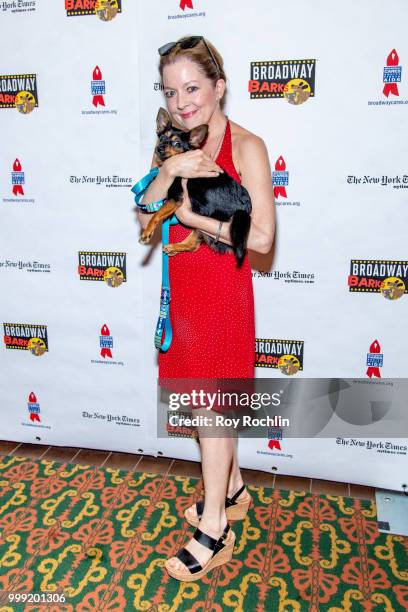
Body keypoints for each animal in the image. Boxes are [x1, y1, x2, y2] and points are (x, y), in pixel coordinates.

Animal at [139, 107, 252, 268]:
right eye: (162, 138)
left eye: (177, 144)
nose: (159, 148)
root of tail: (244, 210)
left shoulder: (176, 197)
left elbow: (157, 214)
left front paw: (147, 233)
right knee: (193, 244)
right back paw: (174, 247)